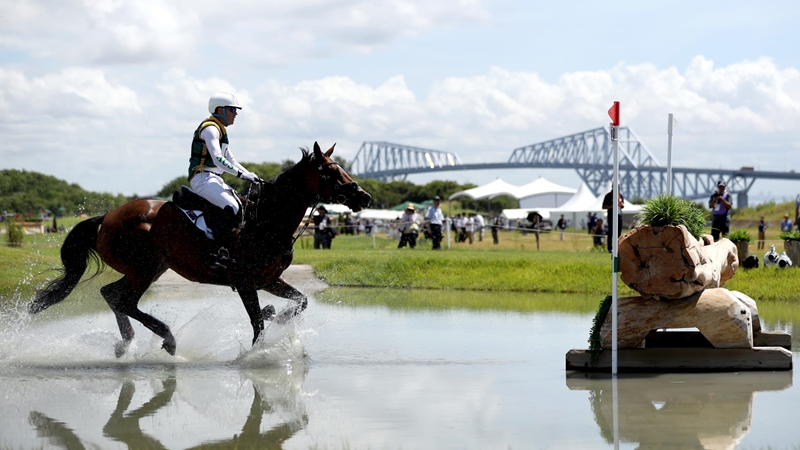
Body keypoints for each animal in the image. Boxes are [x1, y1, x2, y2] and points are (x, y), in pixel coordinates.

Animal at [28, 142, 372, 356]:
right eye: (331, 172)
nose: (364, 197)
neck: (266, 221)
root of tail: (107, 218)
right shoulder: (245, 282)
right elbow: (257, 322)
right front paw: (258, 354)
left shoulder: (269, 279)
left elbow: (299, 302)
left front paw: (281, 317)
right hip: (144, 269)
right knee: (123, 300)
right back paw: (166, 337)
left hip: (151, 269)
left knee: (112, 294)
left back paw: (127, 345)